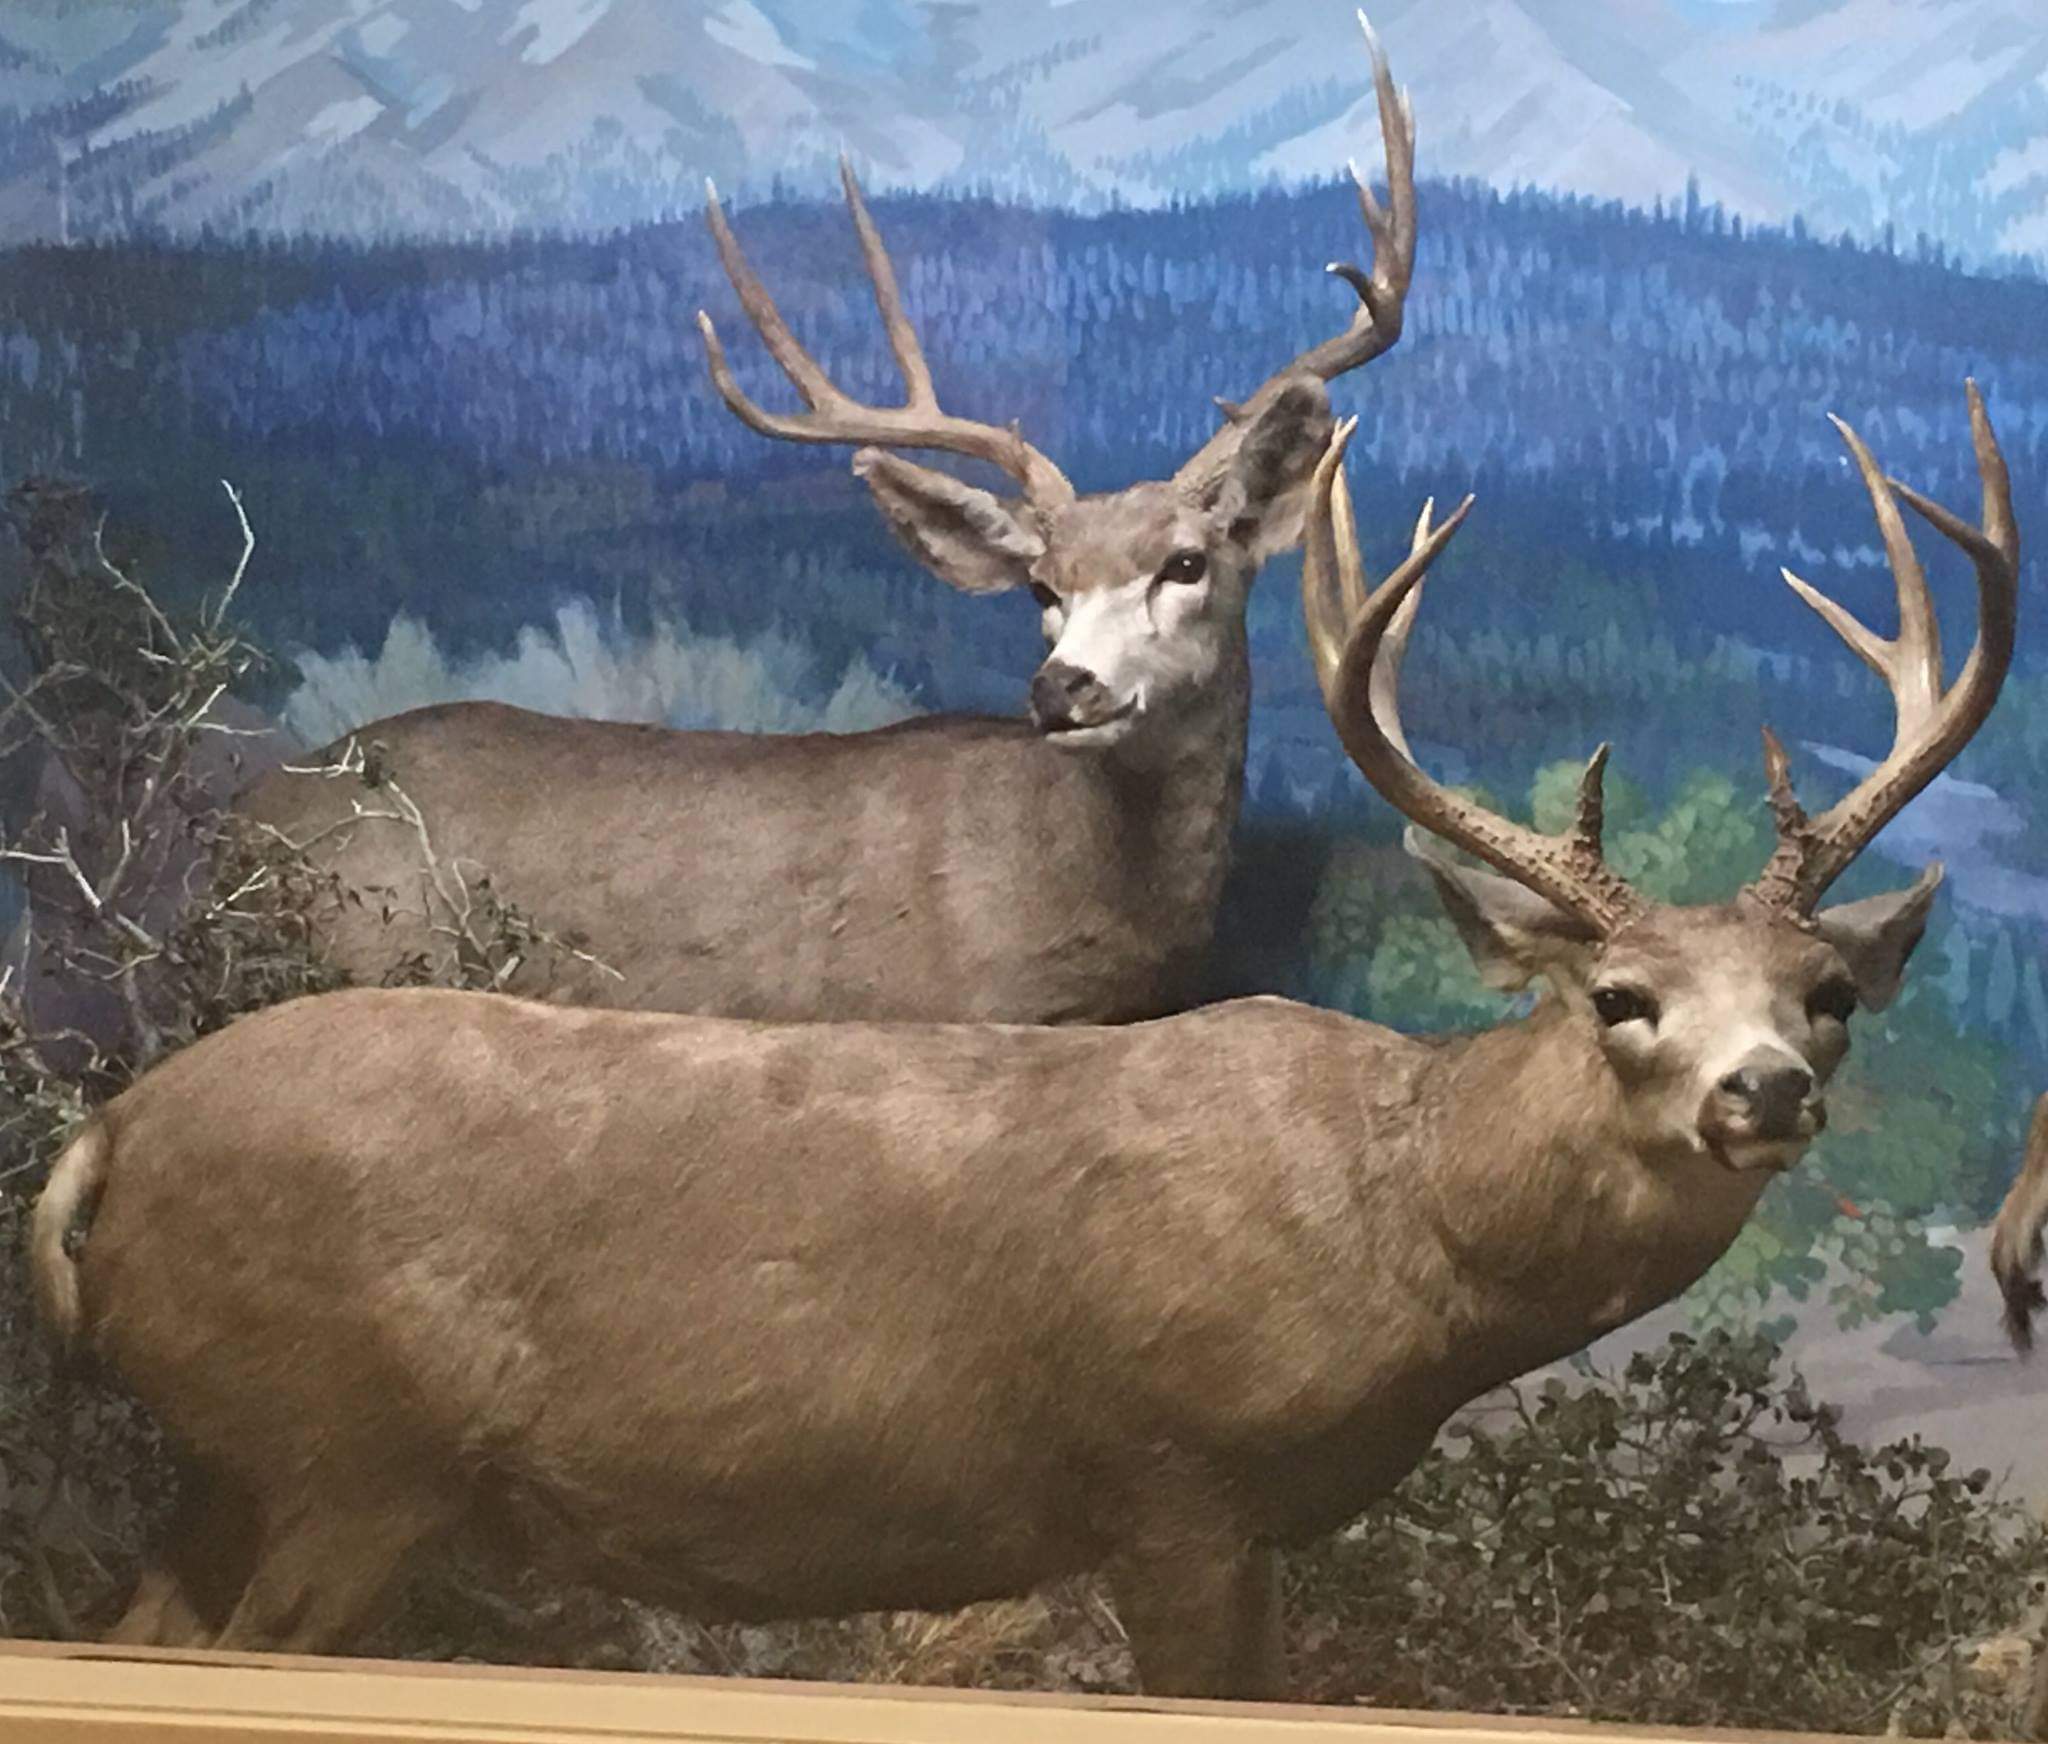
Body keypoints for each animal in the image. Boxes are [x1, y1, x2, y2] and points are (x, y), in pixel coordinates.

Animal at [31, 385, 2013, 1697]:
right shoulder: (1171, 1477)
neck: (1401, 1222)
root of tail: (100, 1146)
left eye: (1828, 992)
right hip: (338, 1452)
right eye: (1617, 999)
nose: (1766, 1088)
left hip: (245, 1466)